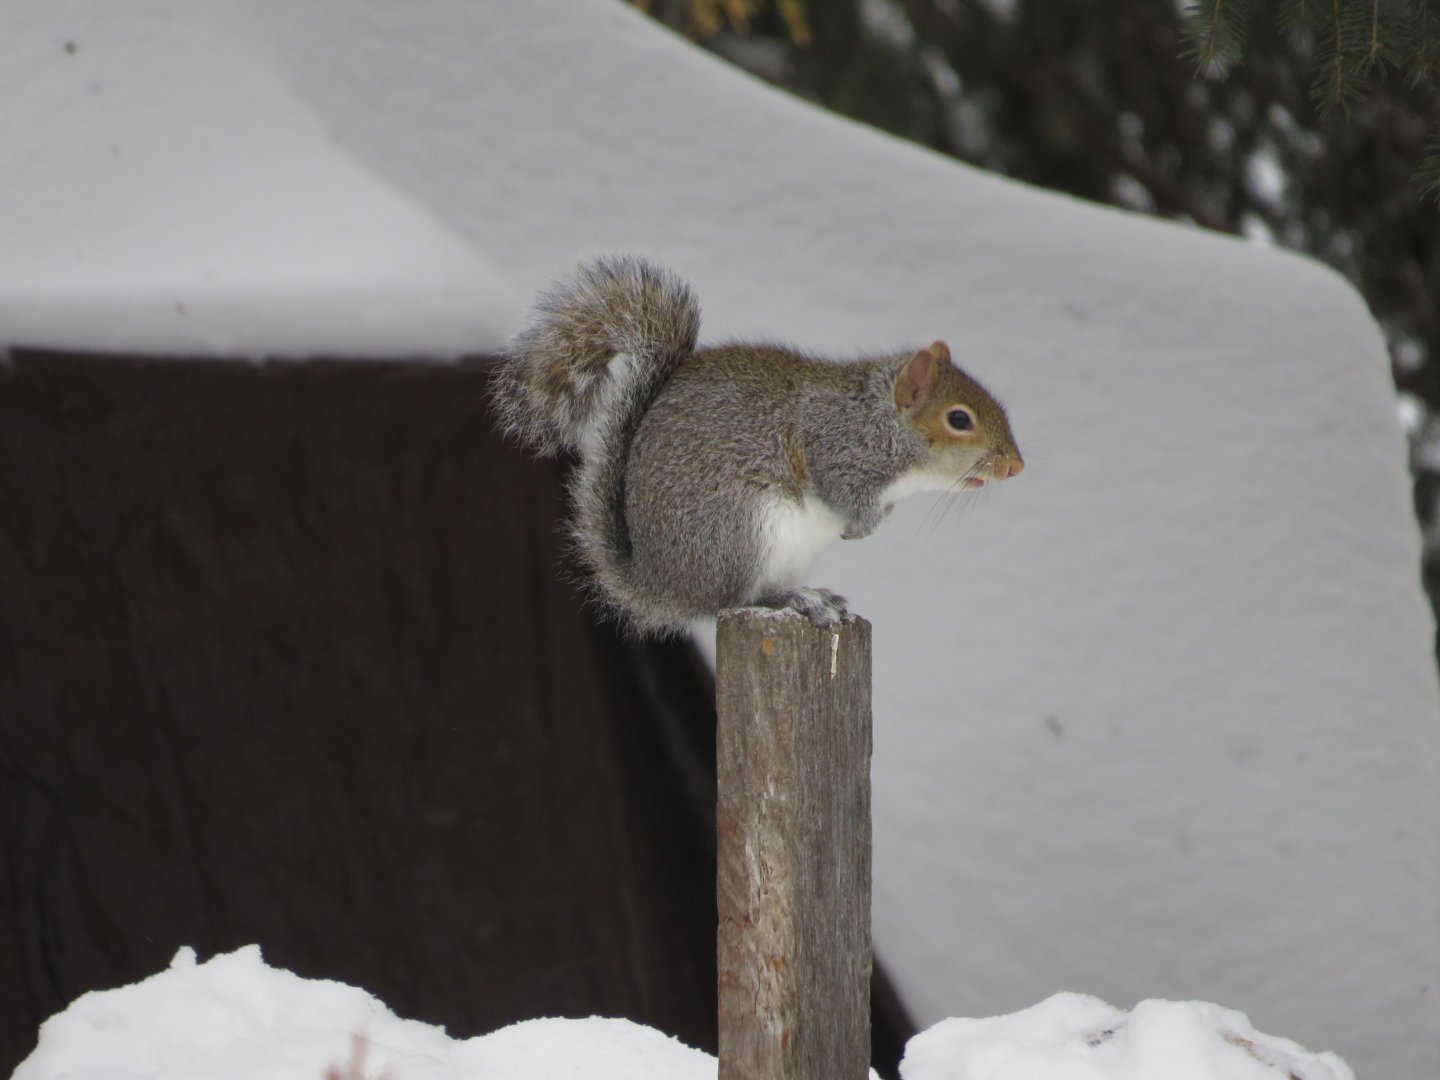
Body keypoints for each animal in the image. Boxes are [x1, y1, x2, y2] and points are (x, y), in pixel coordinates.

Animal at [491, 256, 1024, 637]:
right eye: (959, 419)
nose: (1015, 467)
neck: (877, 417)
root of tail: (661, 586)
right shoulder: (835, 447)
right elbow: (844, 492)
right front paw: (863, 525)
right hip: (740, 530)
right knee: (729, 601)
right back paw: (789, 600)